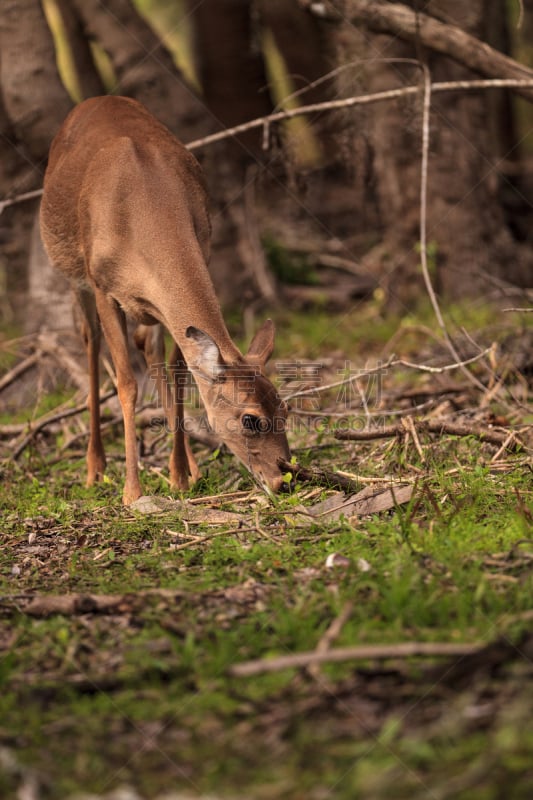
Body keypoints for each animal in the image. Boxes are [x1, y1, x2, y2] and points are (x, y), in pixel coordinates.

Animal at [40, 97, 290, 504]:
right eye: (251, 419)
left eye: (284, 406)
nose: (283, 478)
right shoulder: (103, 287)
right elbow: (126, 383)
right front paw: (131, 491)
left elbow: (179, 374)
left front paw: (179, 477)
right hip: (75, 275)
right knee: (91, 343)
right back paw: (95, 469)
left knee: (147, 344)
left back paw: (191, 466)